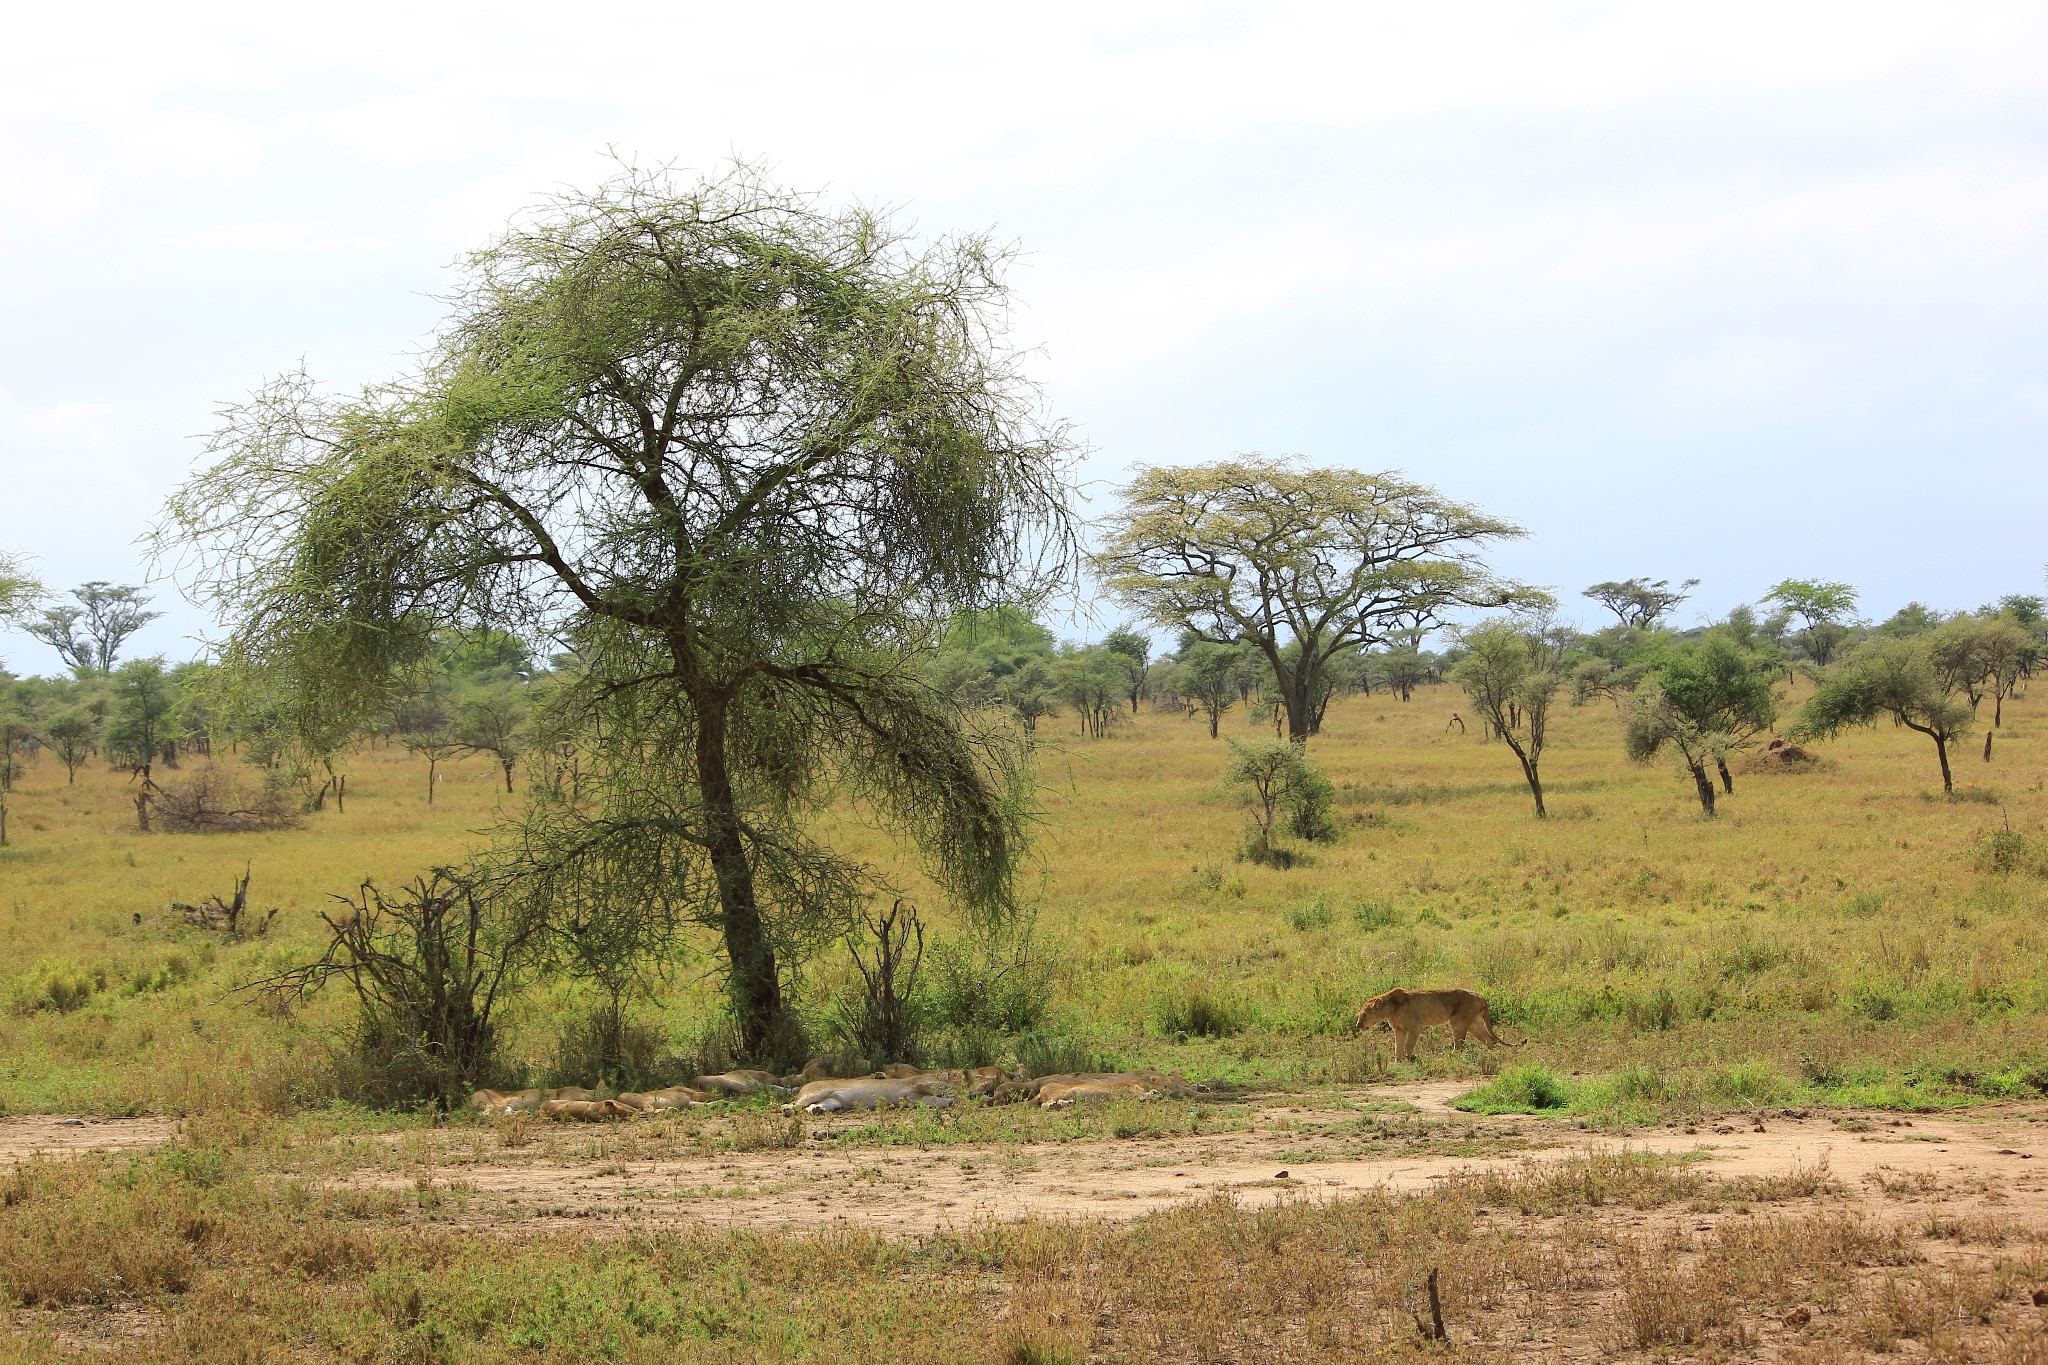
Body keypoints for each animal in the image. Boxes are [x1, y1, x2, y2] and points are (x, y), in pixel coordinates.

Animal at [1359, 986, 1523, 1064]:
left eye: (1364, 1015)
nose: (1357, 1025)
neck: (1389, 1009)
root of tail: (1481, 996)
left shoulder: (1414, 1027)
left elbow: (1408, 1045)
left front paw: (1410, 1059)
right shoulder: (1399, 1030)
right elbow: (1397, 1047)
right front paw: (1397, 1062)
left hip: (1458, 1022)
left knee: (1460, 1045)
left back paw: (1450, 1057)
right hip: (1473, 1024)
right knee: (1489, 1040)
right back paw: (1490, 1055)